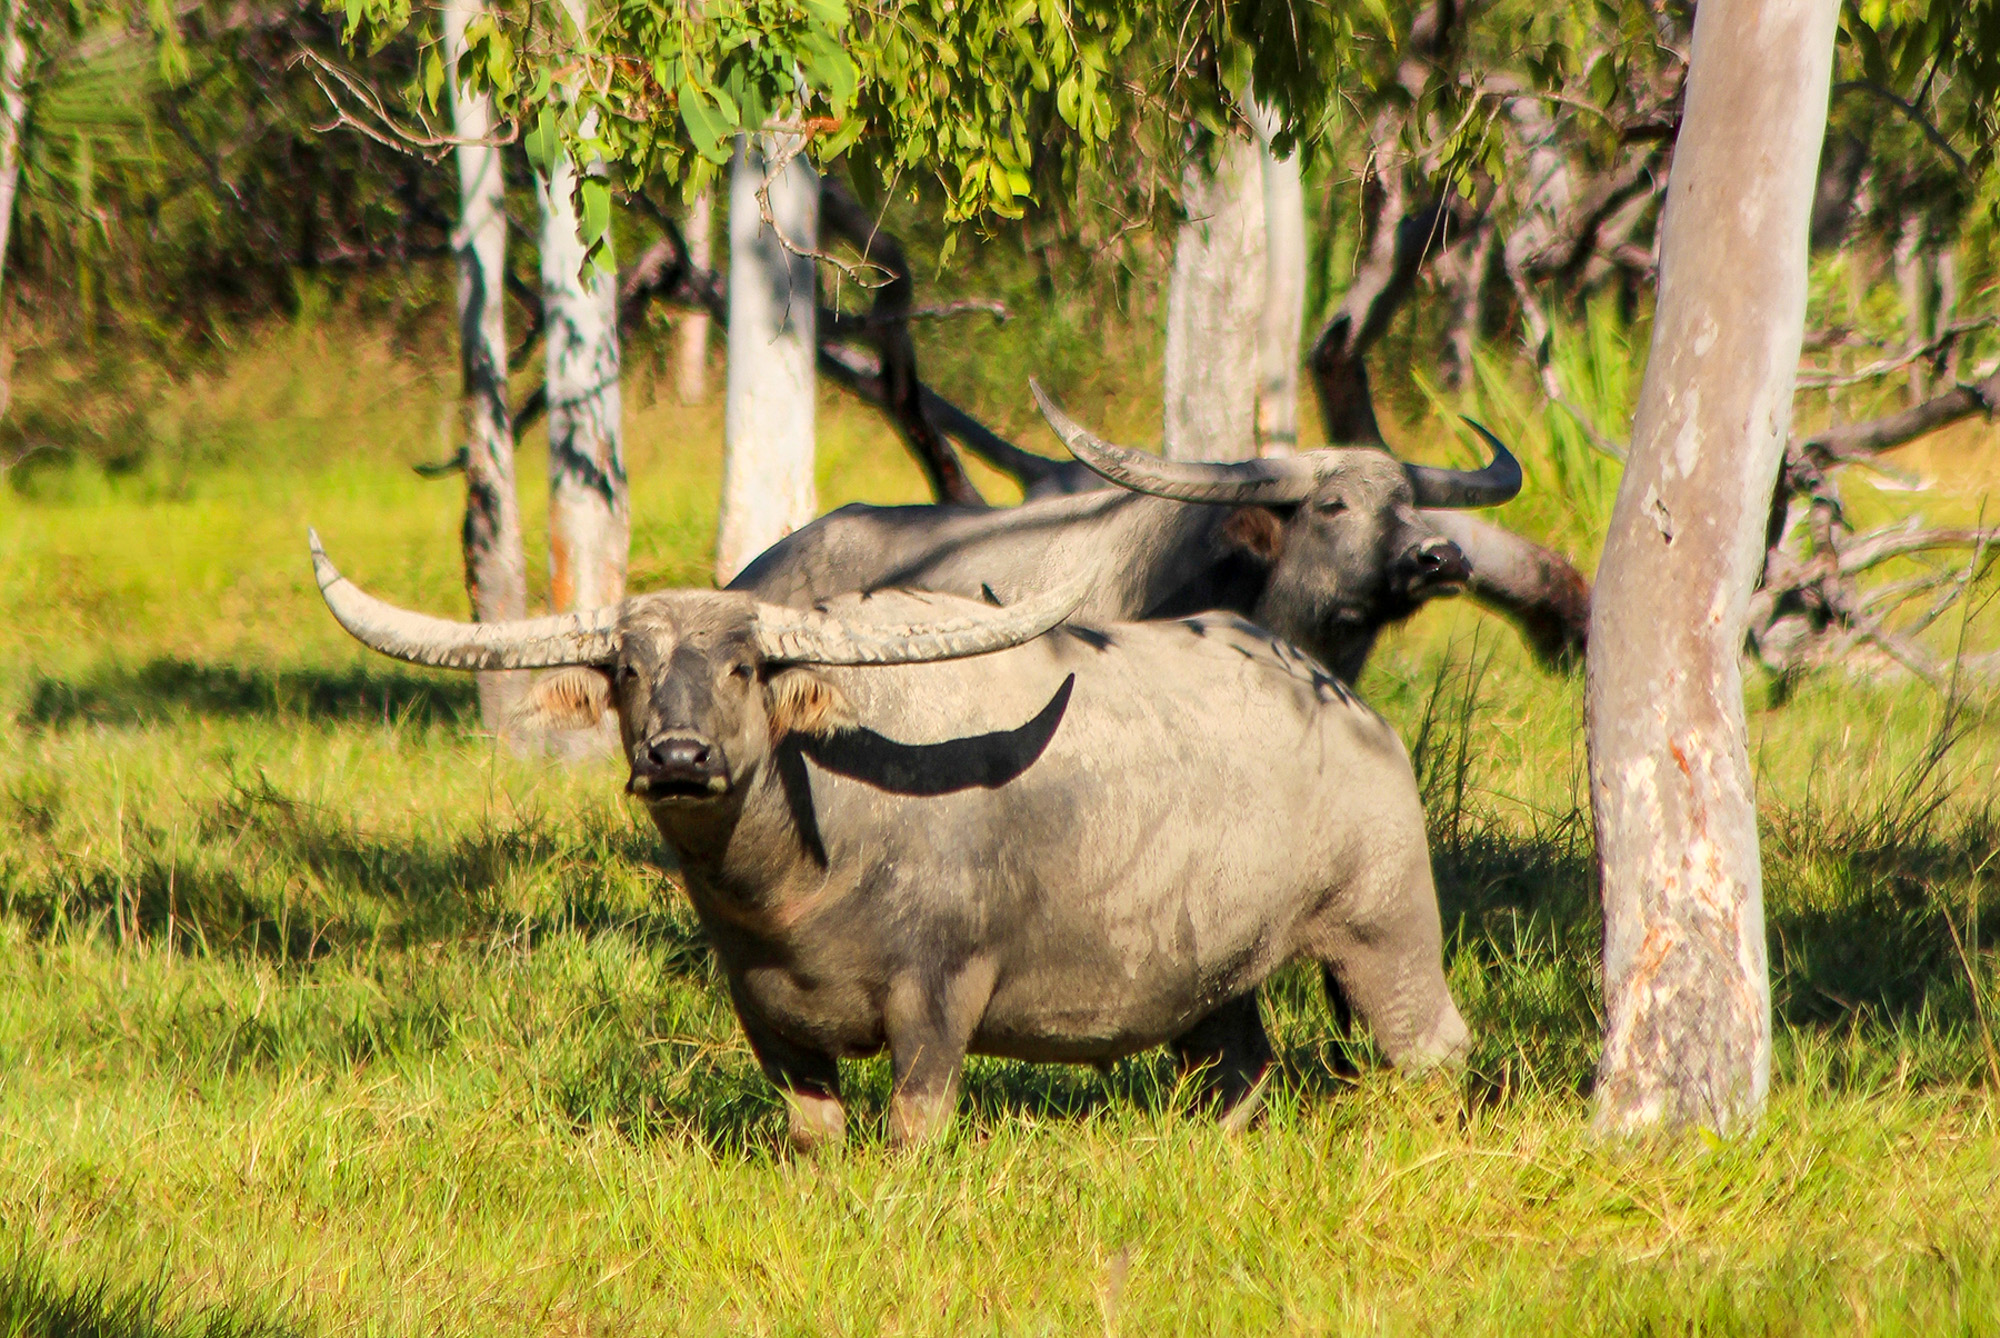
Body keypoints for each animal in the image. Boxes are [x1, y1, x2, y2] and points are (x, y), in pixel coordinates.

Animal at [312, 532, 1472, 1152]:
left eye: (744, 668)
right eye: (628, 670)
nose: (680, 757)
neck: (794, 884)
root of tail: (1352, 713)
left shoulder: (938, 997)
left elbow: (911, 1126)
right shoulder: (767, 1019)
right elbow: (814, 1132)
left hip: (1384, 931)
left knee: (1431, 1051)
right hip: (1211, 982)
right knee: (1237, 1072)